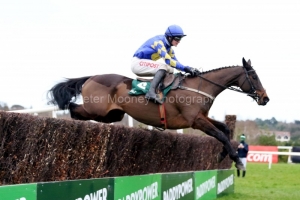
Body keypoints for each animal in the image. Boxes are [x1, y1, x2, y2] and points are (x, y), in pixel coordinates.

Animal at [48, 57, 270, 170]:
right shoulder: (195, 120)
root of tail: (91, 77)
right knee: (73, 108)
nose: (265, 98)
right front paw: (236, 160)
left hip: (113, 114)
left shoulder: (202, 117)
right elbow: (220, 134)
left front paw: (223, 154)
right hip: (97, 109)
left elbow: (224, 129)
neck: (200, 87)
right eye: (254, 76)